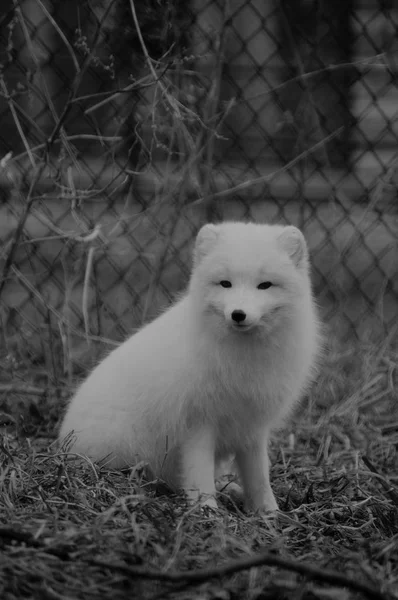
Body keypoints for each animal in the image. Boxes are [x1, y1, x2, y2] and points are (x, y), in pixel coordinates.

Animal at [58, 223, 320, 512]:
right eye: (225, 283)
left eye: (264, 285)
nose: (238, 315)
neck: (245, 357)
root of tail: (61, 442)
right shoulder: (197, 423)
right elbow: (199, 473)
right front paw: (207, 510)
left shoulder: (252, 426)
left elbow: (259, 477)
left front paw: (270, 512)